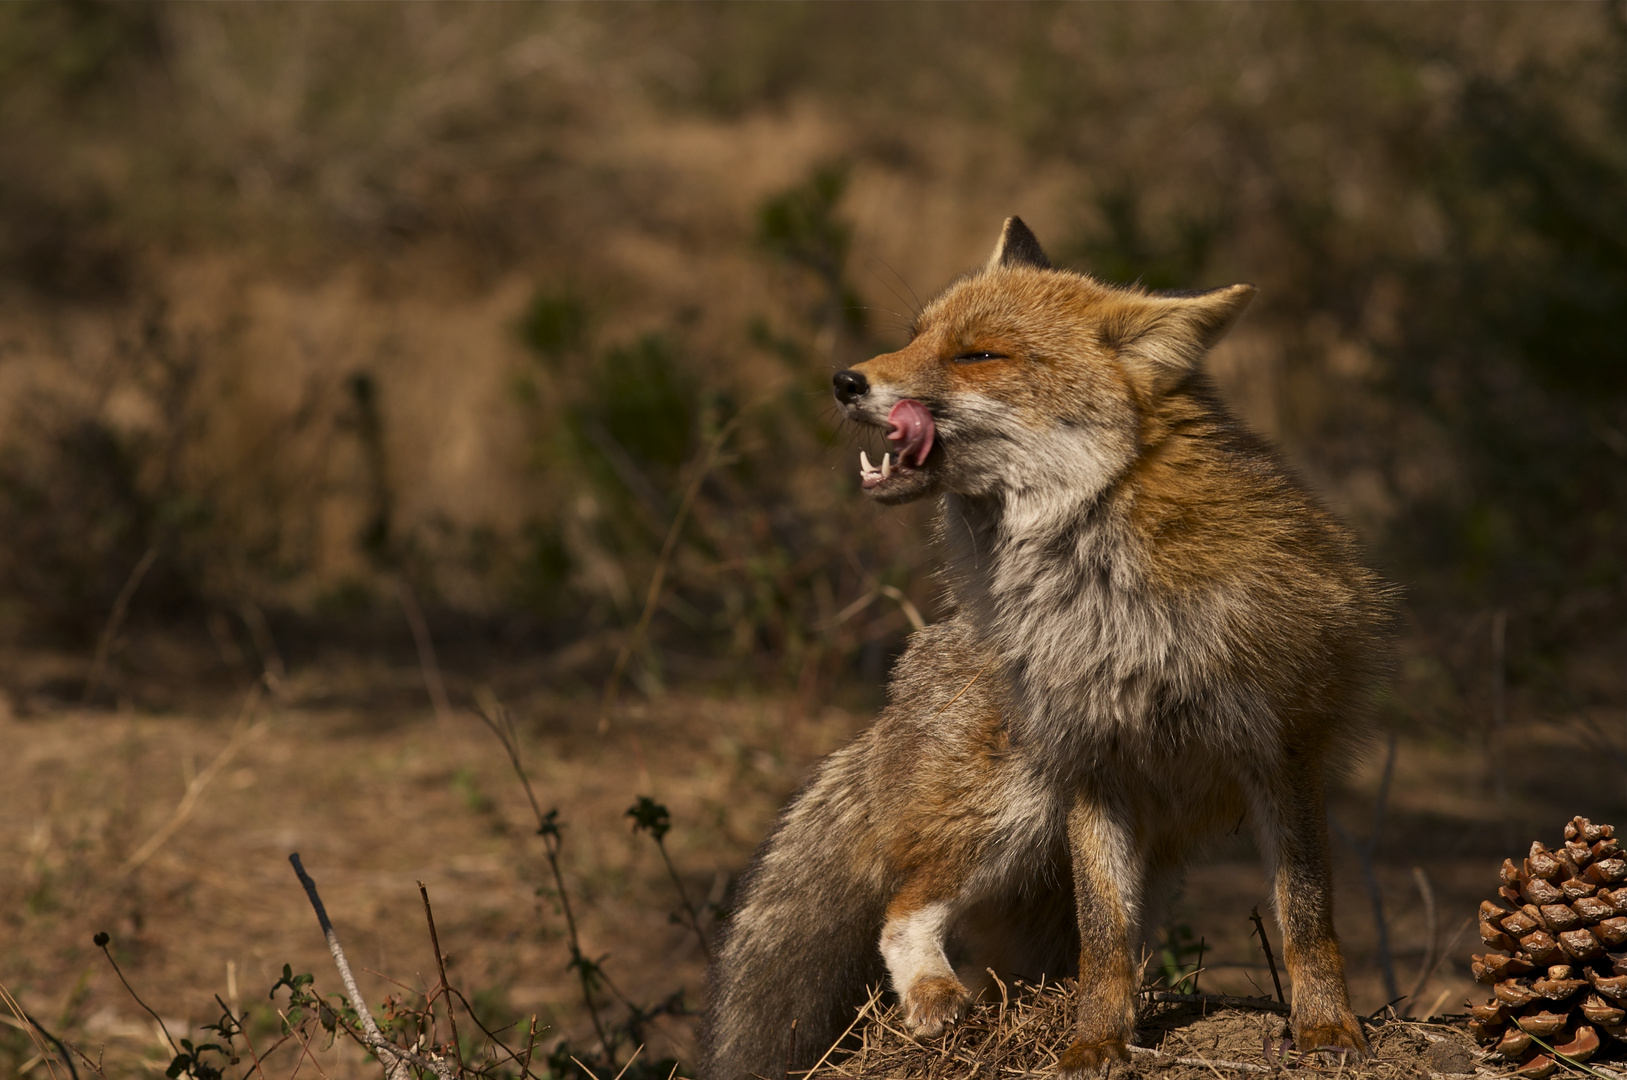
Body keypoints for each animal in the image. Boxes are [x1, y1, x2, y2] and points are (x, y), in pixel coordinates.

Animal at [702, 214, 1399, 1073]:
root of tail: (902, 681)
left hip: (1101, 863)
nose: (844, 381)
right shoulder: (1089, 762)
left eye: (978, 355)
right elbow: (1105, 939)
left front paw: (1326, 1027)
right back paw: (936, 999)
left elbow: (1304, 918)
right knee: (903, 906)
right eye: (914, 336)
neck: (1103, 600)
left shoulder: (1283, 749)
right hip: (1013, 809)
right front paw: (1094, 1041)